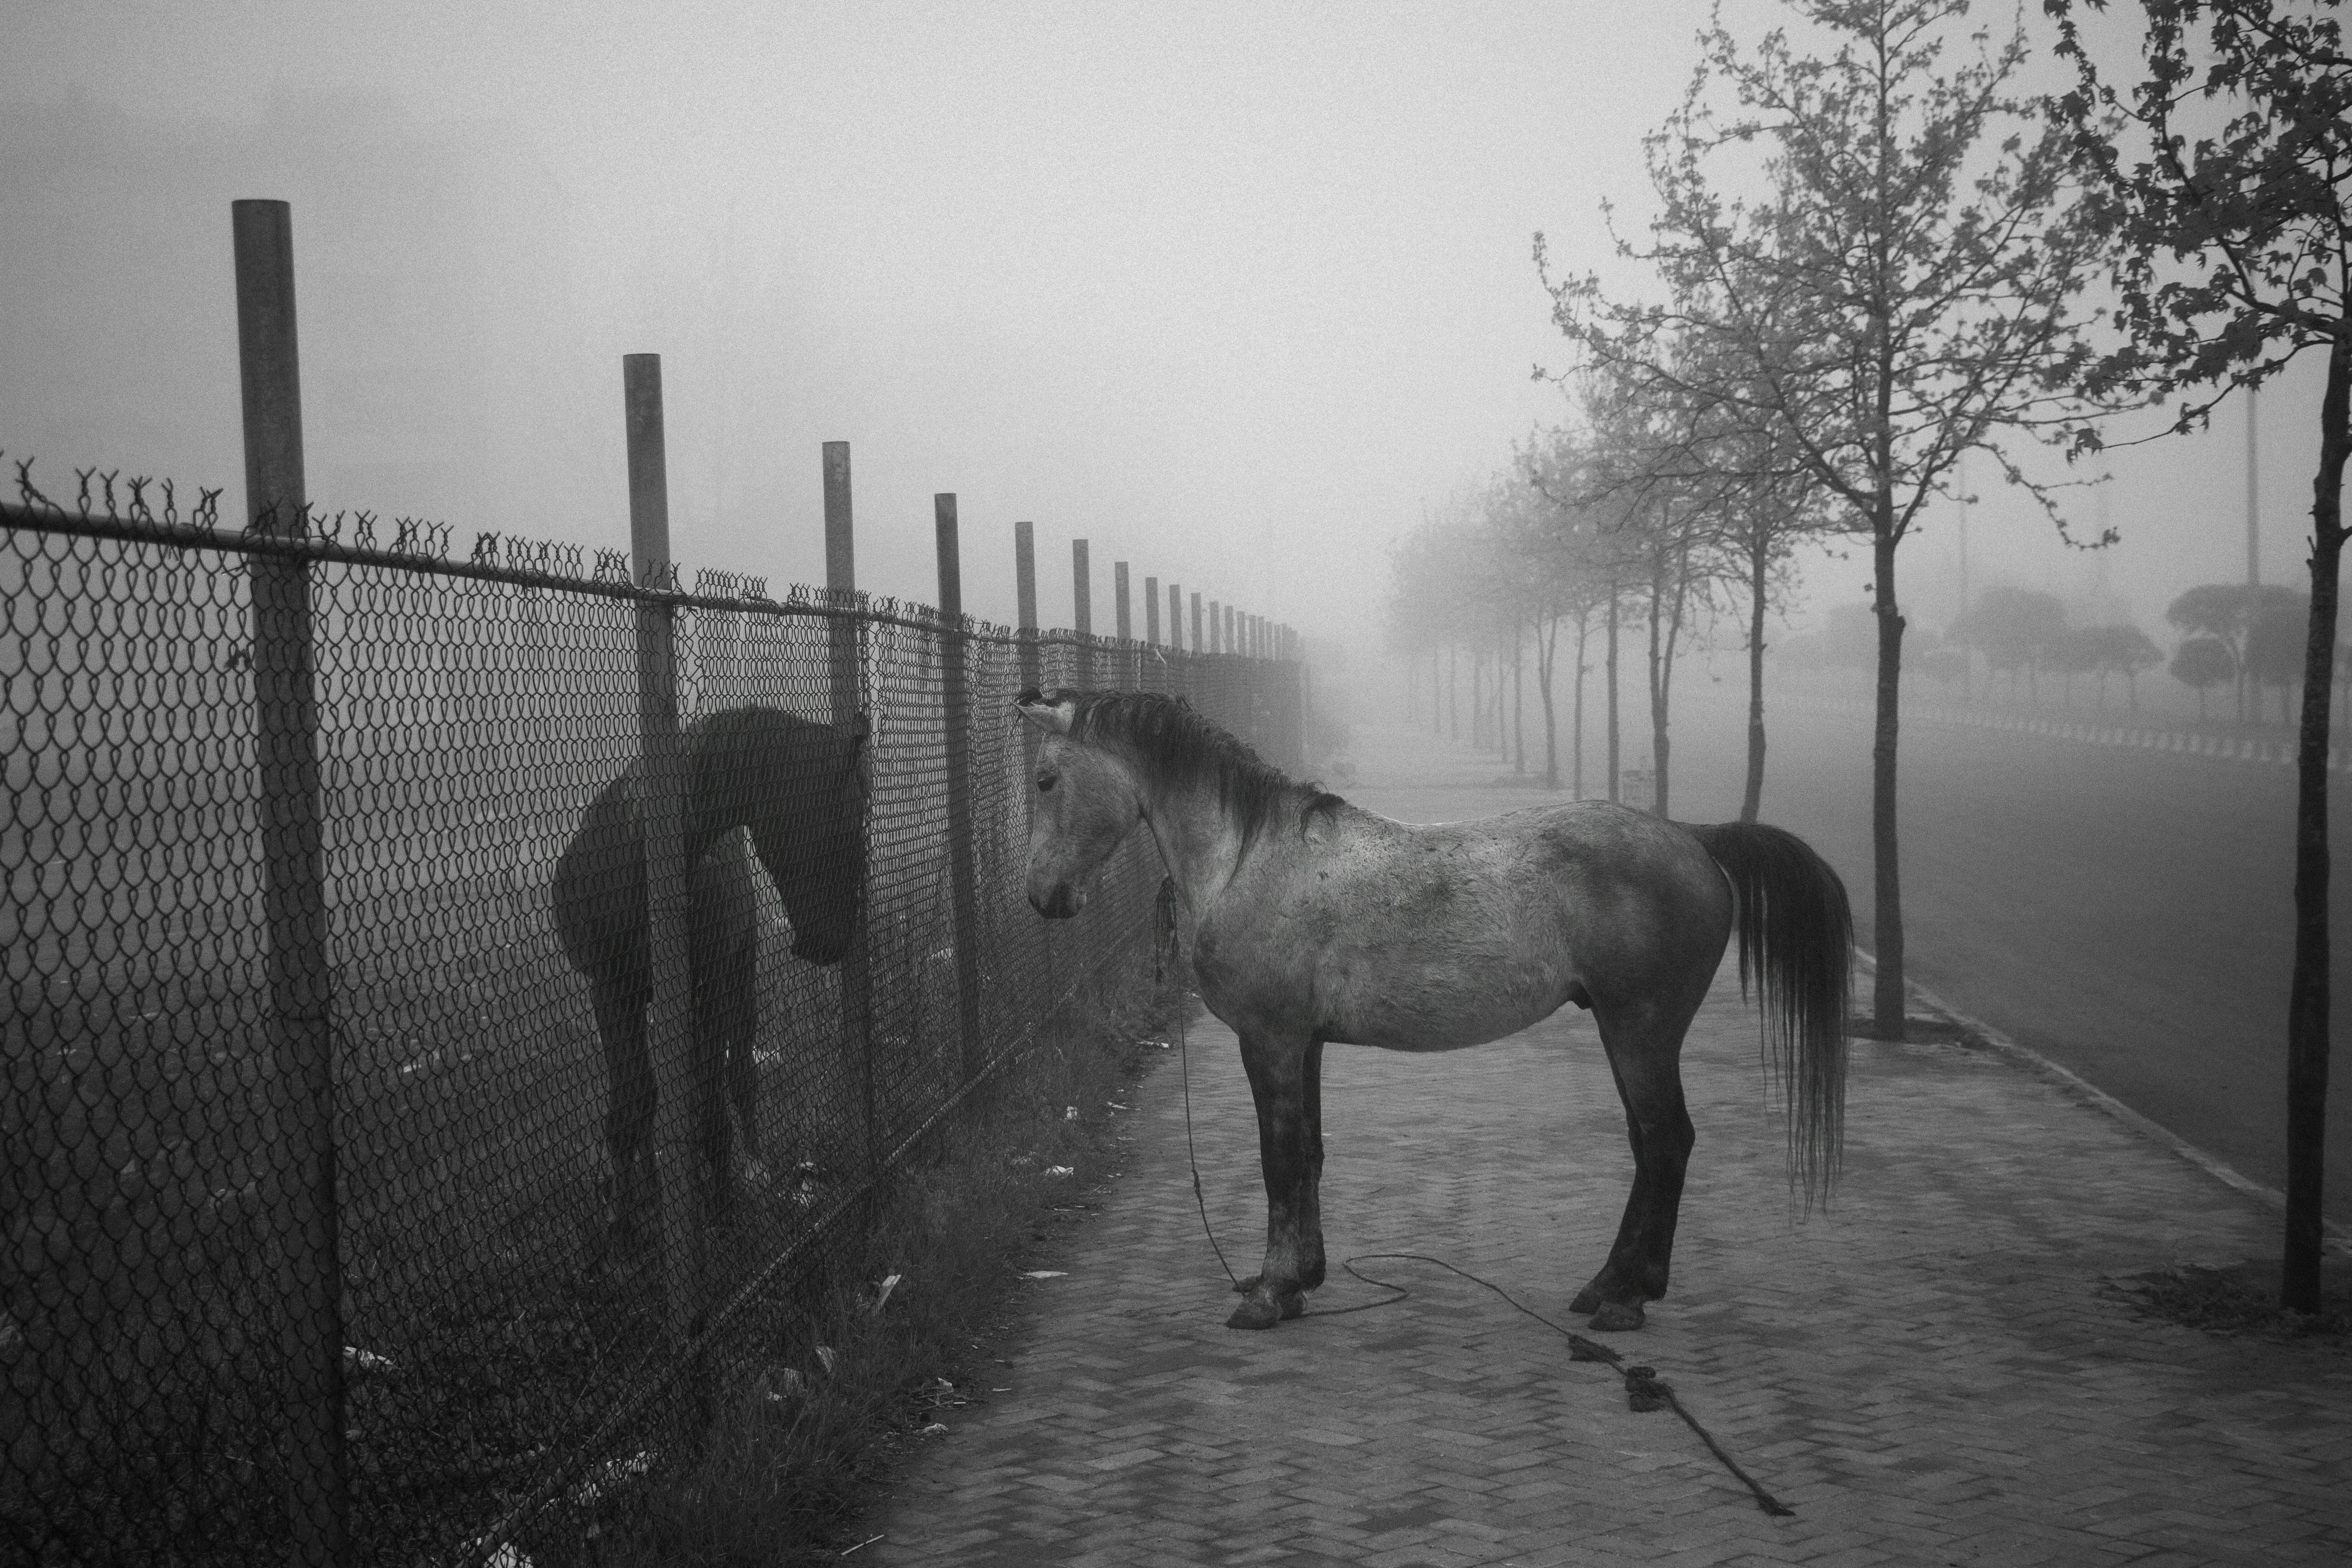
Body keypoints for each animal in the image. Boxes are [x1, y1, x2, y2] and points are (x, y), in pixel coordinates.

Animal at [550, 705, 865, 1244]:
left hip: (737, 978)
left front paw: (720, 1211)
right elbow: (634, 1102)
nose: (832, 945)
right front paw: (627, 1218)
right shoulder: (611, 992)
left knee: (736, 1074)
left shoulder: (710, 983)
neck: (643, 859)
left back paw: (749, 1168)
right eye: (848, 824)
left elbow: (711, 1102)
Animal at [1014, 687, 1850, 1333]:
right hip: (1628, 1033)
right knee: (1651, 1147)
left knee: (1666, 1143)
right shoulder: (1305, 1044)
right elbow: (1309, 1152)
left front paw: (1269, 1293)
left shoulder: (1271, 1040)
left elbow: (1278, 1158)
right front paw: (1304, 1278)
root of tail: (1691, 838)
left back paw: (1625, 1299)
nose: (1042, 896)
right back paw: (1607, 1288)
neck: (1249, 857)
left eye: (1046, 780)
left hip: (1639, 1030)